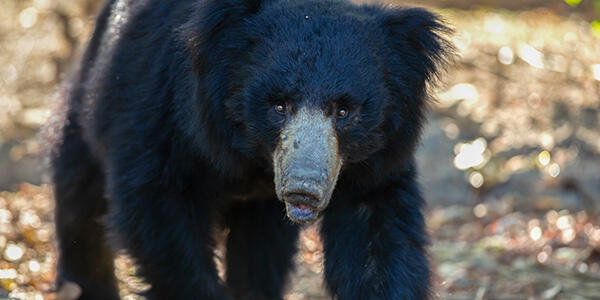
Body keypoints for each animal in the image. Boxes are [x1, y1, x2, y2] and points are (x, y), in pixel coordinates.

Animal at [51, 0, 452, 298]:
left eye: (344, 111)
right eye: (279, 106)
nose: (304, 189)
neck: (254, 161)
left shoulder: (372, 160)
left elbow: (375, 235)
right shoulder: (161, 114)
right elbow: (159, 215)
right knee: (78, 193)